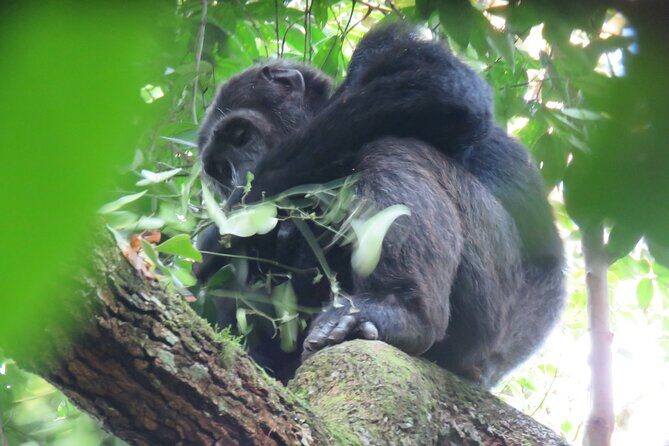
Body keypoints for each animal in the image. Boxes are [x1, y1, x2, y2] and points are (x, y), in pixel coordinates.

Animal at [197, 22, 565, 387]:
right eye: (219, 169)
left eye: (241, 135)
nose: (237, 178)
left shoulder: (379, 46)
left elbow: (437, 86)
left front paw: (230, 224)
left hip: (489, 310)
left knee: (393, 149)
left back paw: (397, 311)